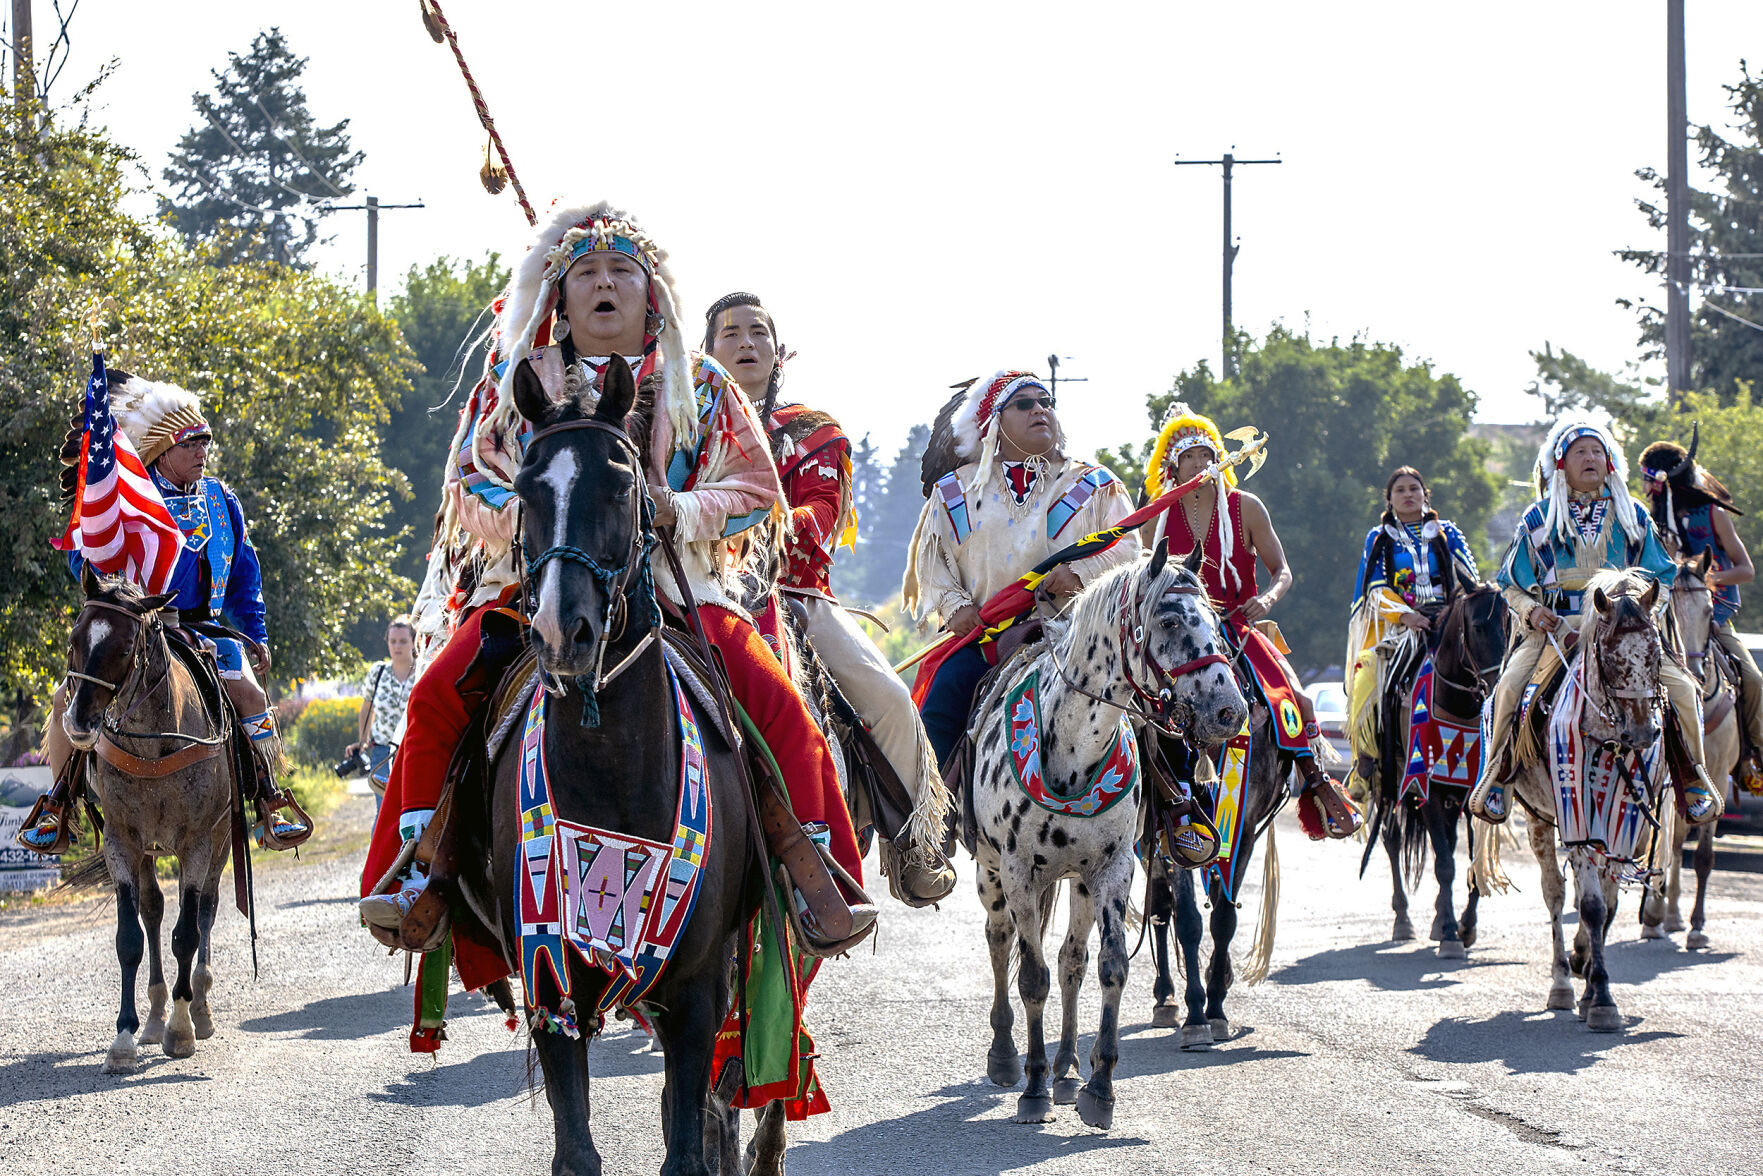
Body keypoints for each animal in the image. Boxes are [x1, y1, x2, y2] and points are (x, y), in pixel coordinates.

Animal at [973, 546, 1248, 1128]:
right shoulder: (1018, 873)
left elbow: (1110, 967)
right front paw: (1032, 1086)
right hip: (990, 875)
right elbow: (1031, 978)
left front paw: (1098, 1086)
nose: (1229, 711)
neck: (1074, 750)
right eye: (1169, 621)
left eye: (1216, 623)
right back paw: (1007, 1056)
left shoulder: (1112, 868)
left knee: (1072, 961)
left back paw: (1068, 1068)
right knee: (1000, 940)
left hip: (1077, 881)